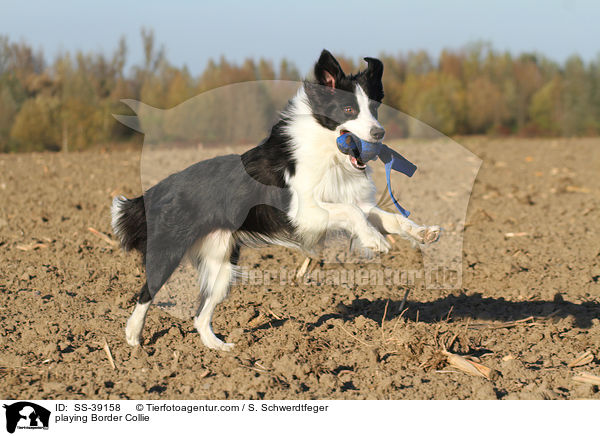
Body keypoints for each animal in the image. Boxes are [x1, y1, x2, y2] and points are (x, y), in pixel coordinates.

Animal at [112, 50, 440, 350]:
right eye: (348, 109)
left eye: (374, 108)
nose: (379, 132)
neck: (329, 151)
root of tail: (156, 191)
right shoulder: (302, 212)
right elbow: (351, 213)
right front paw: (376, 242)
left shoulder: (348, 200)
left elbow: (388, 217)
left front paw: (423, 232)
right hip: (168, 251)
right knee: (146, 293)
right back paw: (133, 339)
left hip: (222, 263)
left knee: (200, 314)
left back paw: (221, 349)